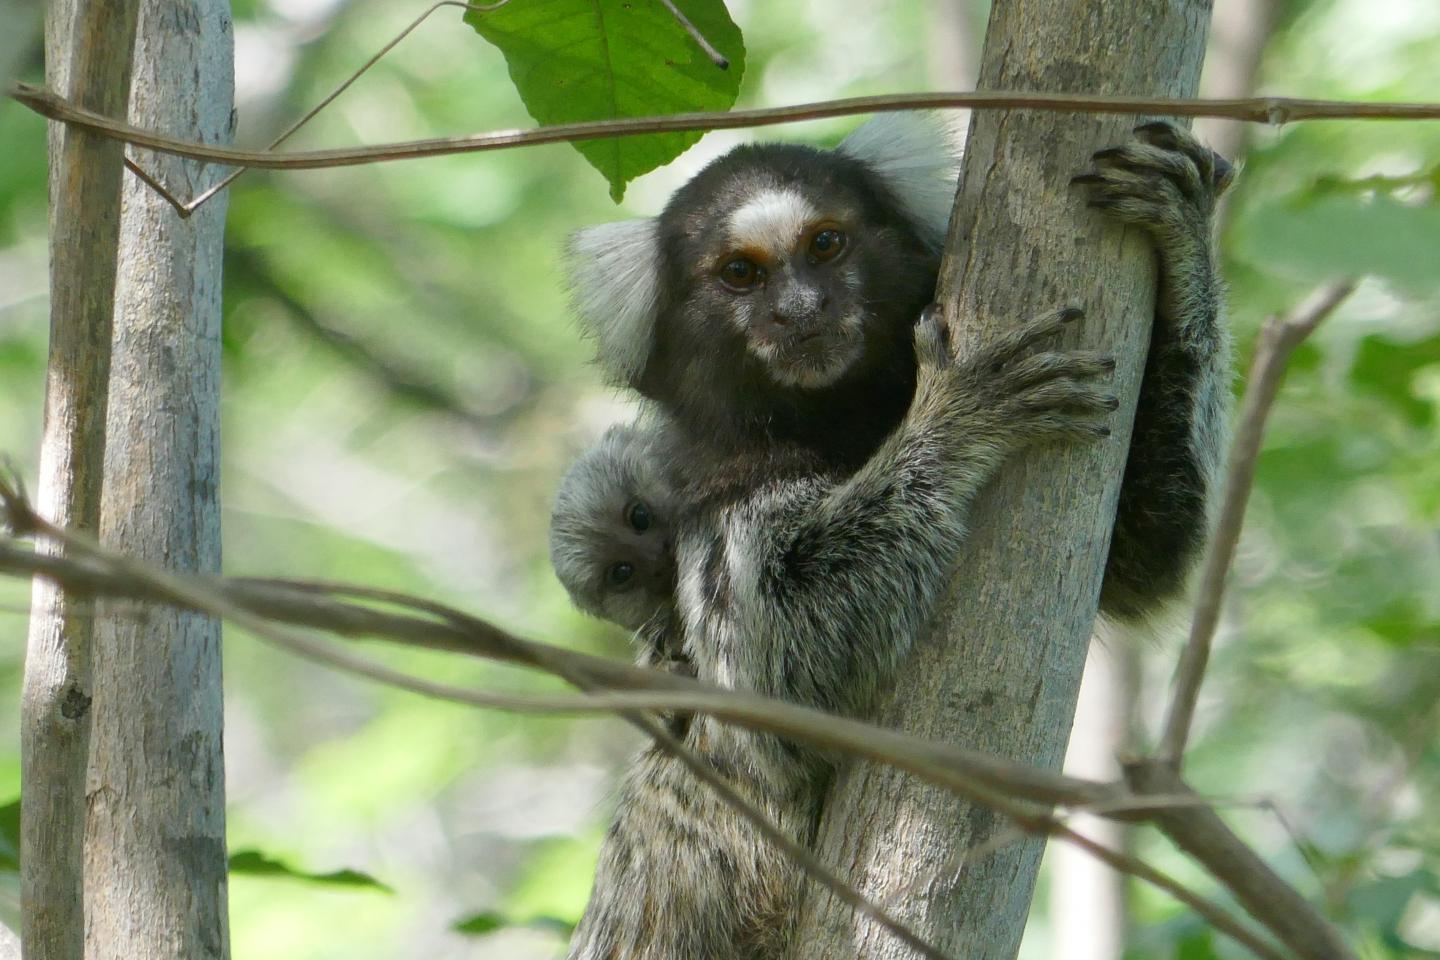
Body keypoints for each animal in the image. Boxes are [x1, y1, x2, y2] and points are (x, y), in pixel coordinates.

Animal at [560, 114, 1232, 958]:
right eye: (740, 274)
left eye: (825, 245)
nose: (800, 309)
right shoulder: (716, 504)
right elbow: (774, 688)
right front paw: (957, 414)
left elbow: (1145, 562)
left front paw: (1184, 240)